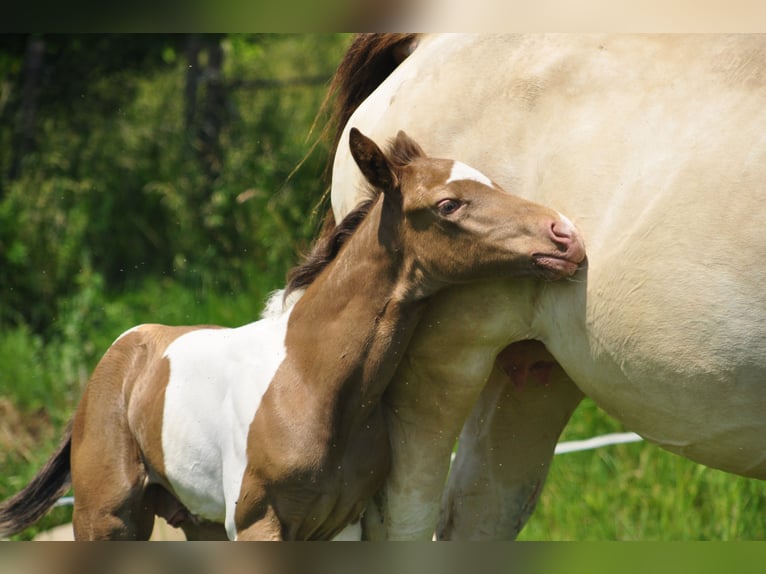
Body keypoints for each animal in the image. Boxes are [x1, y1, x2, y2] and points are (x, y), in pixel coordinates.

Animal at [1, 128, 588, 544]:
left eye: (495, 183)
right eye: (448, 204)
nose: (565, 237)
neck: (311, 378)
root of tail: (125, 348)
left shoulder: (341, 524)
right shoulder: (258, 522)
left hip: (196, 522)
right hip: (108, 518)